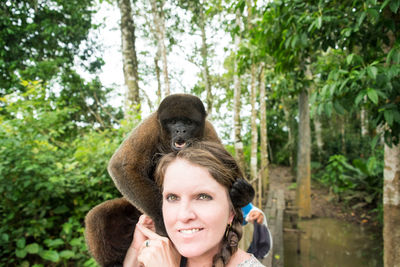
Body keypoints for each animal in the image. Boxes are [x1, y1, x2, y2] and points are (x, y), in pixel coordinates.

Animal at [85, 94, 222, 267]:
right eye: (173, 122)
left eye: (189, 123)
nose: (180, 130)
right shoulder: (150, 126)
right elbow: (122, 166)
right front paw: (161, 219)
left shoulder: (209, 132)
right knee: (96, 217)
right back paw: (113, 262)